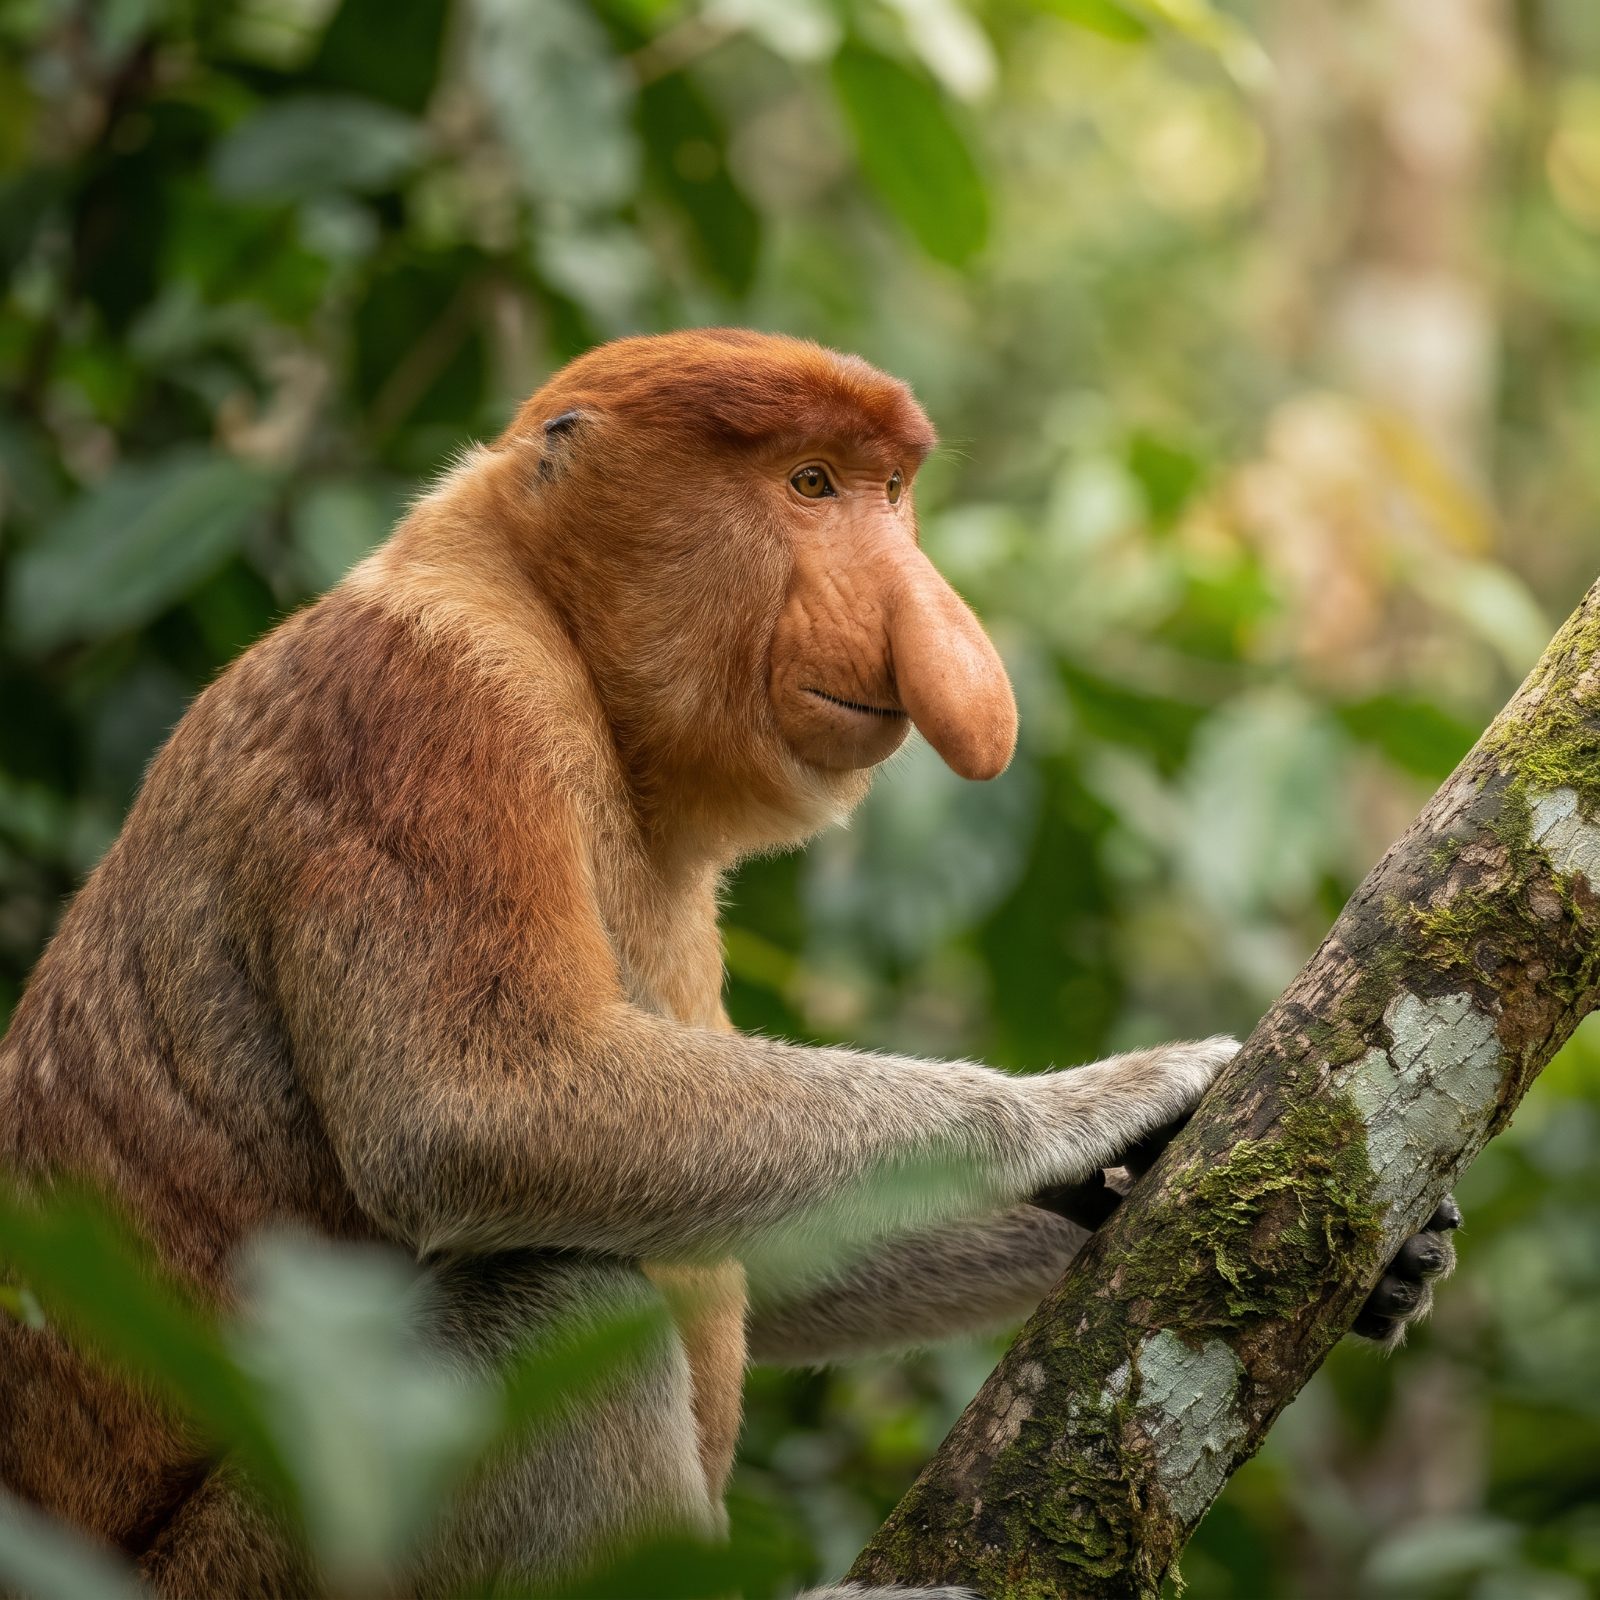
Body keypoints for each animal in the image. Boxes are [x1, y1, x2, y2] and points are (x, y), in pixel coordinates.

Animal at [0, 329, 1458, 1598]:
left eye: (889, 492)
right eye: (808, 485)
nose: (927, 625)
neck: (553, 621)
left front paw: (1365, 1247)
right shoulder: (421, 711)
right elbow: (470, 1107)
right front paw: (1111, 1105)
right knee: (560, 1297)